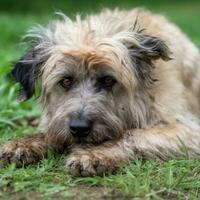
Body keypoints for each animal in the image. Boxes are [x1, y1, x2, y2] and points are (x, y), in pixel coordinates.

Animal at [0, 8, 200, 177]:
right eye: (65, 81)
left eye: (108, 80)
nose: (79, 128)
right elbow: (50, 131)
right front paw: (25, 144)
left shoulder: (186, 129)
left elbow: (133, 134)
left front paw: (95, 154)